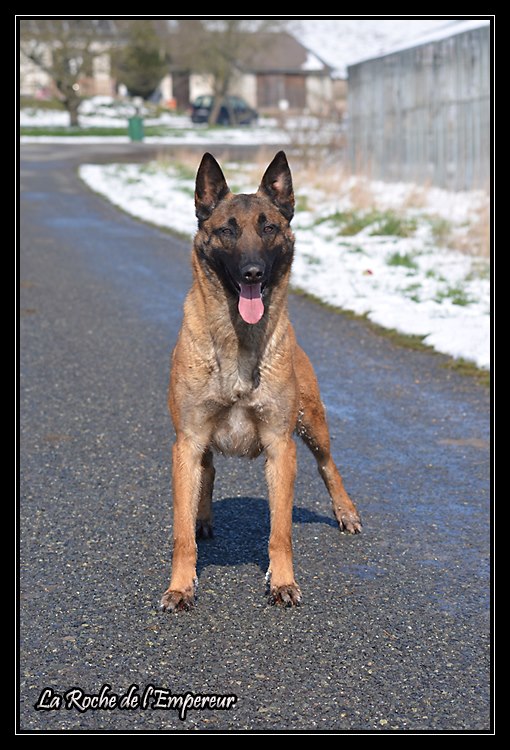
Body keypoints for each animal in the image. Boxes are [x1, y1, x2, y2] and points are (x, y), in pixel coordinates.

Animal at [160, 150, 362, 612]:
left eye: (268, 227)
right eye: (227, 230)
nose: (252, 273)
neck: (239, 342)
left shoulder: (280, 447)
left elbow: (280, 531)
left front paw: (282, 582)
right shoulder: (187, 442)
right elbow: (181, 533)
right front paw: (181, 586)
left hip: (313, 424)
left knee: (329, 466)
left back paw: (345, 511)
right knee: (209, 472)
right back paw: (203, 516)